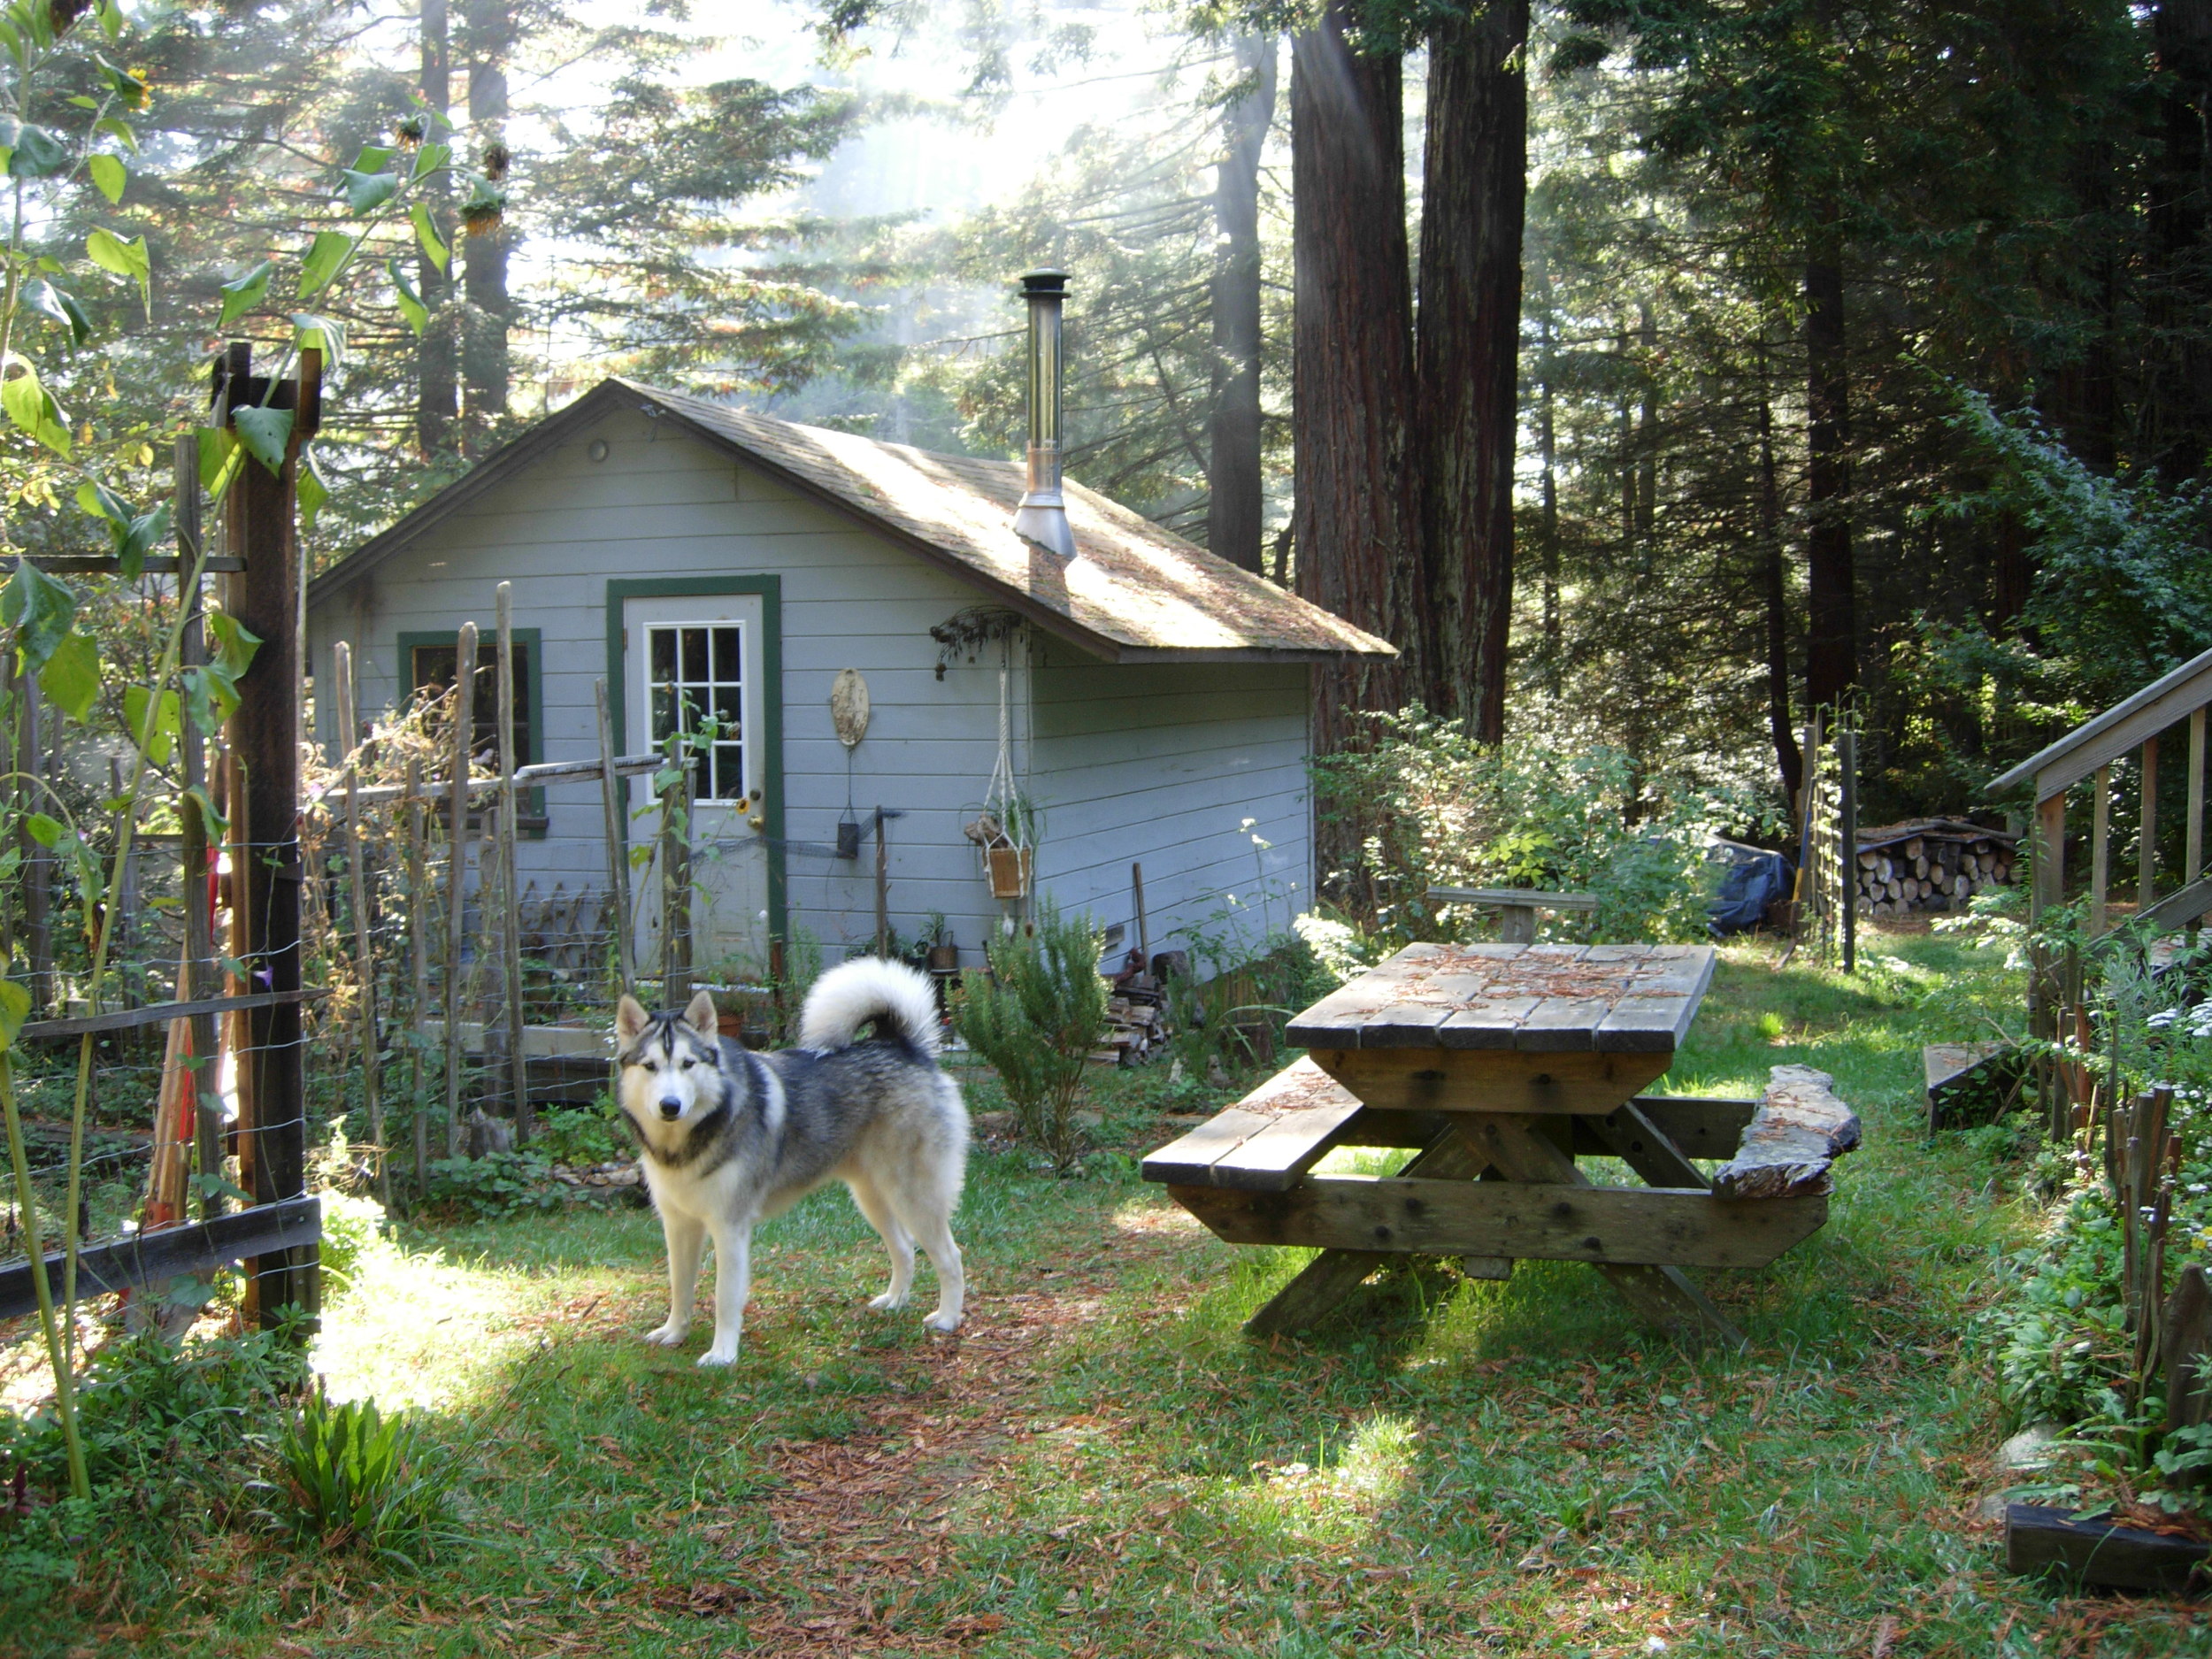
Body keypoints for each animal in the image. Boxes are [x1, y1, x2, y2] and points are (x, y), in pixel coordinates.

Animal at [619, 956, 973, 1371]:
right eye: (650, 1066)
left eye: (688, 1064)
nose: (670, 1106)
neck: (689, 1141)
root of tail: (899, 1044)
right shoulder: (678, 1225)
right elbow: (679, 1286)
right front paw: (675, 1332)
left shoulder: (729, 1228)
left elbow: (725, 1297)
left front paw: (723, 1354)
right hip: (873, 1197)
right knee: (903, 1247)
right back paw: (895, 1301)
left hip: (914, 1196)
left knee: (950, 1256)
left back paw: (949, 1318)